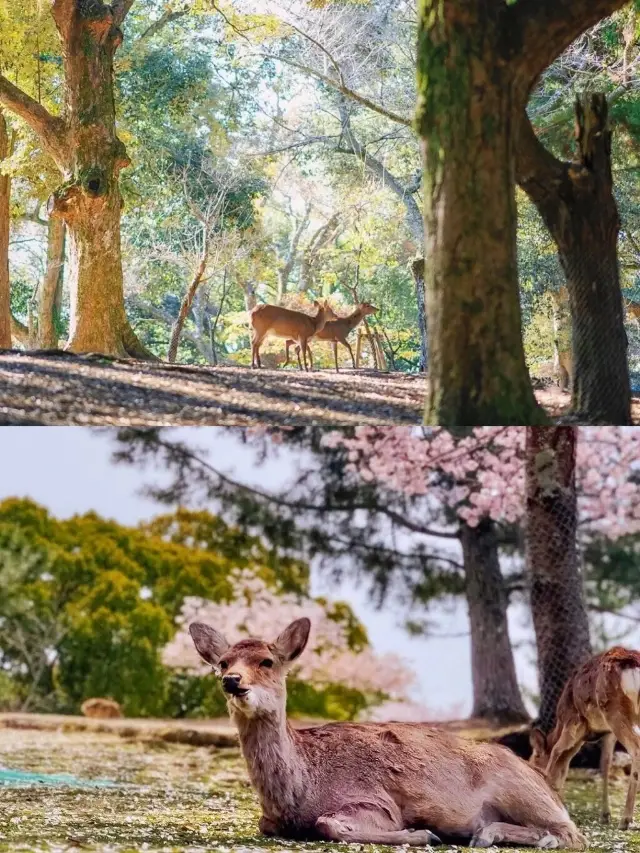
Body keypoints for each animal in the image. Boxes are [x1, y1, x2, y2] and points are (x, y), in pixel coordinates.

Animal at [189, 616, 584, 848]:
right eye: (223, 662)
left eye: (267, 661)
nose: (231, 680)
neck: (300, 791)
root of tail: (543, 780)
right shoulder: (269, 819)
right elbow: (266, 824)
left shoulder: (375, 801)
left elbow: (326, 824)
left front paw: (421, 832)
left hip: (521, 790)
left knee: (570, 832)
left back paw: (487, 834)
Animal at [528, 644, 640, 828]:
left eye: (532, 762)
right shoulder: (607, 731)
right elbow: (605, 763)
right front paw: (605, 815)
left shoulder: (573, 721)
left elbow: (556, 751)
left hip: (615, 712)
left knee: (636, 748)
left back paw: (625, 819)